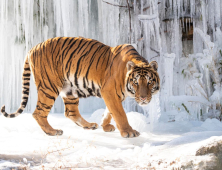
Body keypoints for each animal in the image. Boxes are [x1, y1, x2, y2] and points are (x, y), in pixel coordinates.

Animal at [0, 36, 160, 137]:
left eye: (149, 82)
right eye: (136, 82)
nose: (144, 98)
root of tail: (32, 48)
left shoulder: (114, 95)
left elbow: (109, 111)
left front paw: (105, 125)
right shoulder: (109, 91)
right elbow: (119, 113)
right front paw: (129, 132)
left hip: (69, 90)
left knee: (71, 112)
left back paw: (89, 125)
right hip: (49, 87)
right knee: (38, 112)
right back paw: (53, 131)